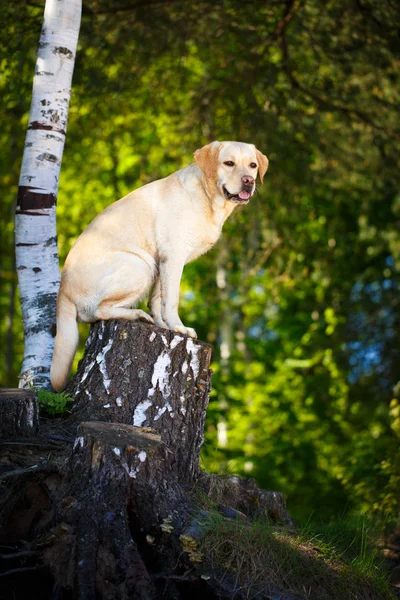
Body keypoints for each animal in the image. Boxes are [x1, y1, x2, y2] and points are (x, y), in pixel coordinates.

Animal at [50, 142, 268, 392]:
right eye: (229, 163)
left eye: (252, 165)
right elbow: (171, 299)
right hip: (140, 266)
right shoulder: (172, 257)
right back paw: (136, 315)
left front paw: (162, 325)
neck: (207, 197)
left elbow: (157, 299)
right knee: (96, 312)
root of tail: (62, 290)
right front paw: (178, 327)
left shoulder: (161, 261)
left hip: (148, 266)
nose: (248, 180)